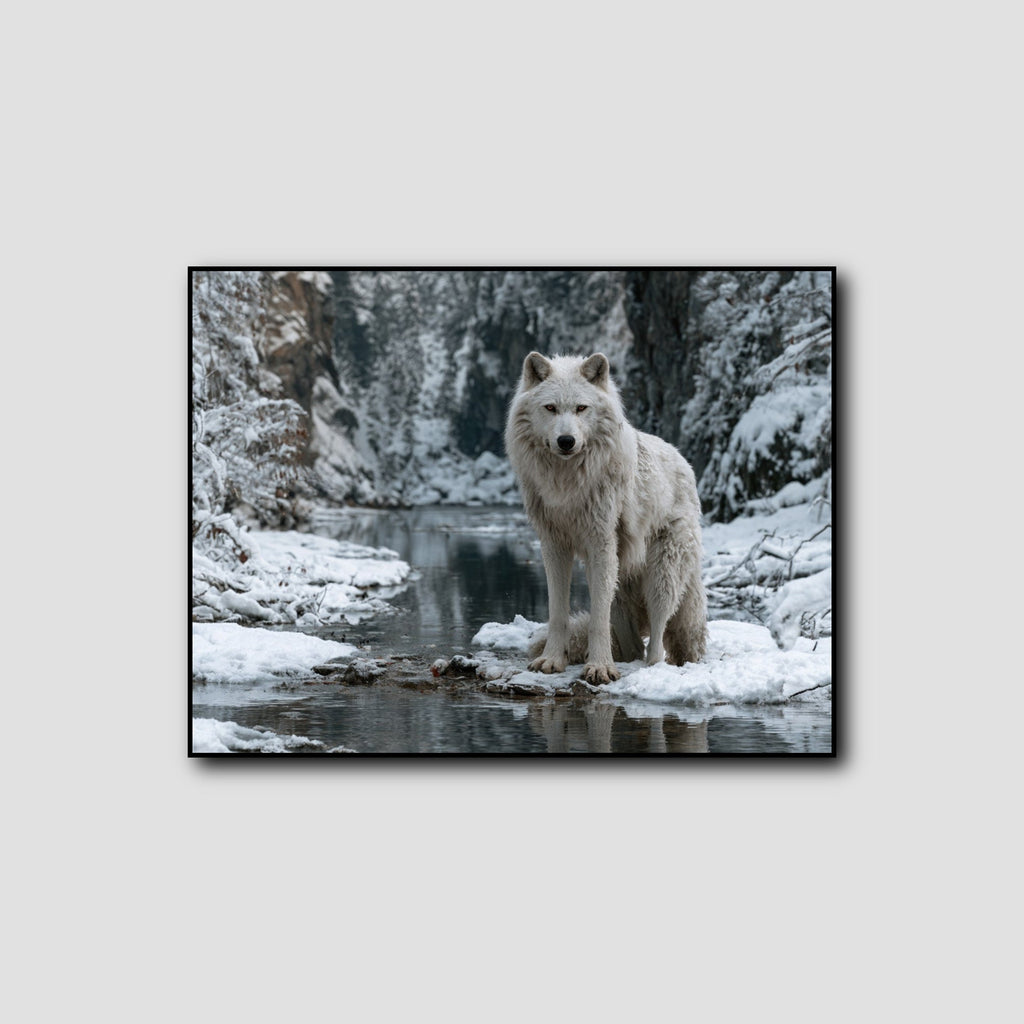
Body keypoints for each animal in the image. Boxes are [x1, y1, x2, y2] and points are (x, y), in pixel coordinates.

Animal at [505, 351, 707, 684]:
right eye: (550, 408)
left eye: (581, 408)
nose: (566, 441)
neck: (567, 484)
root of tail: (683, 462)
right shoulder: (553, 546)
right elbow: (557, 612)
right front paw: (552, 660)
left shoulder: (601, 544)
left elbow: (597, 617)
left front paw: (599, 667)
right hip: (621, 584)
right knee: (635, 644)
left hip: (661, 574)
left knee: (658, 638)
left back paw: (650, 669)